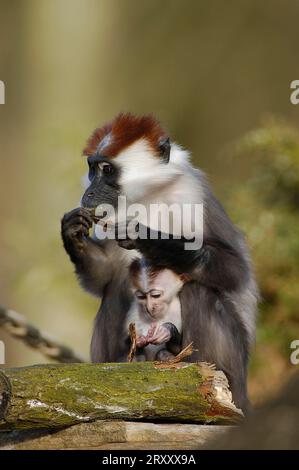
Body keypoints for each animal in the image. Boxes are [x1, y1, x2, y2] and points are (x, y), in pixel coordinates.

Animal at [61, 113, 260, 412]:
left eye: (107, 170)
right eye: (92, 169)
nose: (90, 194)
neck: (150, 196)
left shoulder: (191, 195)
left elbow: (236, 271)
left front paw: (146, 236)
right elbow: (104, 274)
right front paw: (73, 230)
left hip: (236, 366)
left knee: (199, 291)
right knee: (117, 285)